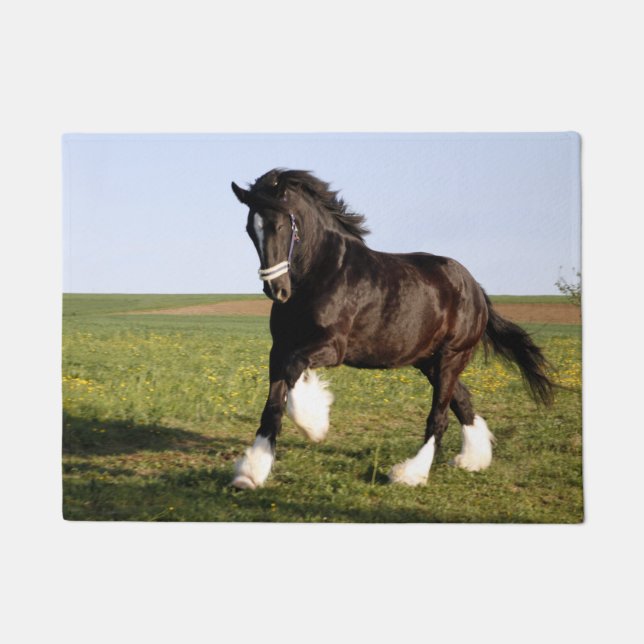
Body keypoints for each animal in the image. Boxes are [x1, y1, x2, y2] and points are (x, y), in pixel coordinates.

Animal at [230, 169, 554, 489]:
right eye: (250, 229)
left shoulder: (332, 347)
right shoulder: (279, 348)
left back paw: (410, 474)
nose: (276, 290)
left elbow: (294, 373)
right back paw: (473, 459)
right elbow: (273, 406)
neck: (322, 271)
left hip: (451, 357)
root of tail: (476, 289)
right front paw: (250, 473)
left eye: (279, 225)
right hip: (429, 362)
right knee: (462, 402)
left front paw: (315, 424)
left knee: (439, 417)